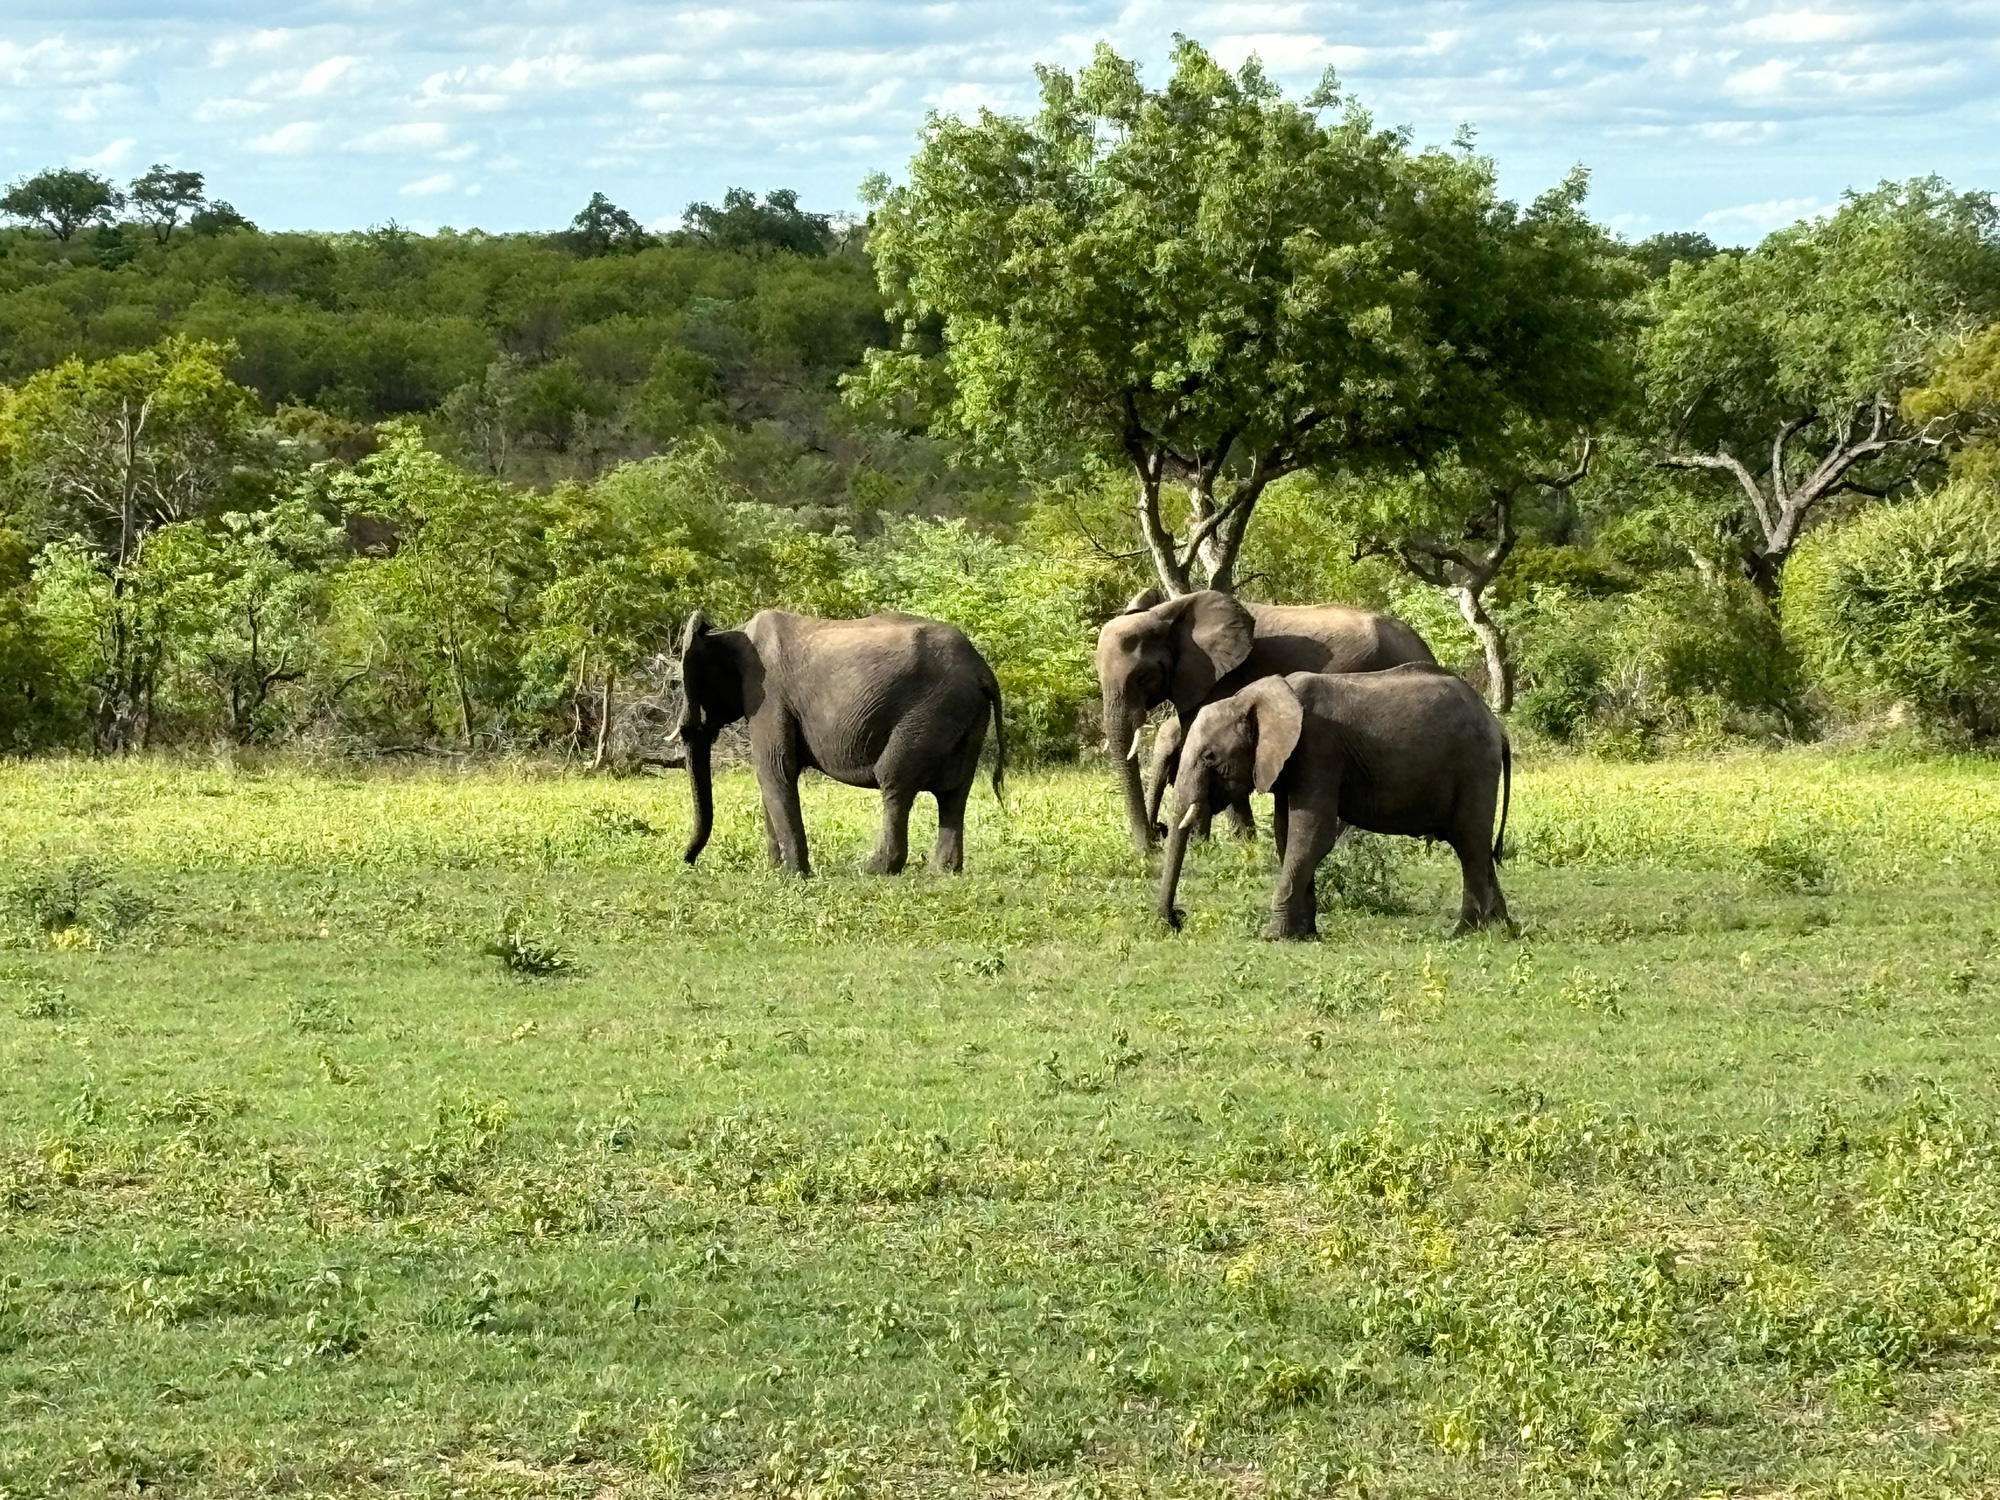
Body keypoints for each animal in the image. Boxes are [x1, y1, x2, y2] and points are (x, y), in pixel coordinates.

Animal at [680, 604, 1008, 876]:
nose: (688, 861)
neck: (731, 632)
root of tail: (983, 669)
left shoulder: (769, 695)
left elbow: (774, 769)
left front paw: (793, 876)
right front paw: (774, 870)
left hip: (931, 711)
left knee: (894, 780)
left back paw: (874, 869)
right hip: (966, 717)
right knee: (954, 792)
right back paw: (942, 872)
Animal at [1096, 588, 1440, 852]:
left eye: (1142, 677)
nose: (1155, 838)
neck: (1168, 614)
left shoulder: (1221, 680)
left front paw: (1215, 847)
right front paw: (1238, 844)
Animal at [1152, 668, 1504, 940]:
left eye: (1210, 757)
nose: (1176, 920)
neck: (1252, 697)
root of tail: (1497, 725)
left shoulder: (1316, 750)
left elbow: (1311, 835)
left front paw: (1273, 936)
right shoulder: (1292, 763)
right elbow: (1286, 835)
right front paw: (1301, 935)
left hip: (1474, 765)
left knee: (1469, 843)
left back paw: (1465, 932)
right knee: (1478, 846)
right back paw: (1501, 928)